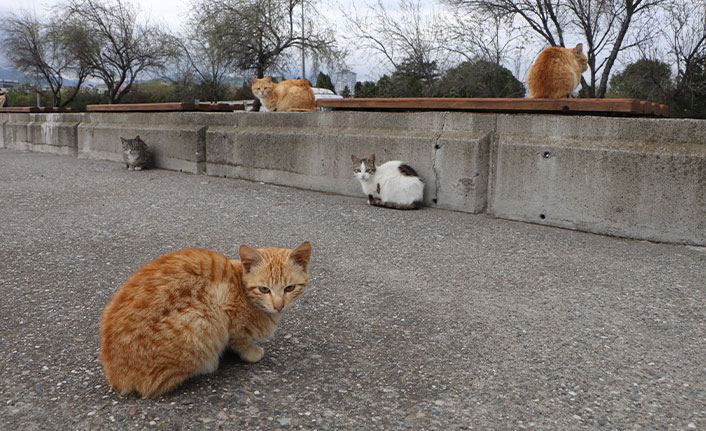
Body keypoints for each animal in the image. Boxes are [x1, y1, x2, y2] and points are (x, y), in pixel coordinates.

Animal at [98, 241, 310, 400]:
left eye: (289, 288)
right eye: (264, 289)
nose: (279, 306)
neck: (242, 287)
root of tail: (115, 376)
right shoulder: (226, 310)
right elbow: (241, 340)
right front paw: (252, 352)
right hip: (202, 318)